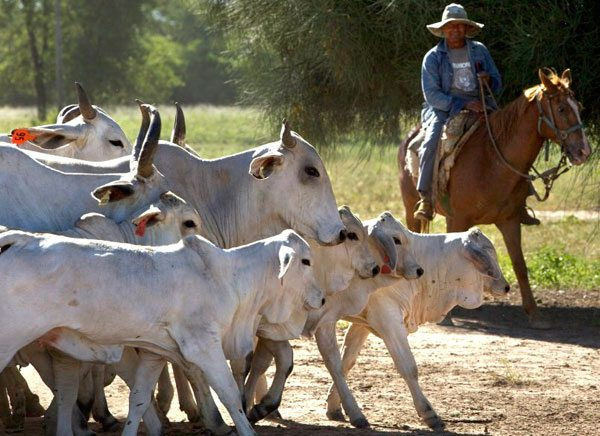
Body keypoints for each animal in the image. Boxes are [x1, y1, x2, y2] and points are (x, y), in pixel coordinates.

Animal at [0, 228, 324, 436]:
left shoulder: (155, 353)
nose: (322, 299)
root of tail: (18, 239)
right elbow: (231, 396)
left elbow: (139, 400)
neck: (229, 278)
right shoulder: (204, 347)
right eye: (306, 261)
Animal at [324, 227, 510, 430]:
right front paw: (429, 413)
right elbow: (408, 367)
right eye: (489, 252)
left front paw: (334, 407)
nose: (507, 286)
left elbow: (346, 362)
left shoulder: (361, 323)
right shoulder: (388, 319)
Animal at [398, 68, 592, 328]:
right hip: (411, 207)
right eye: (561, 109)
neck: (491, 161)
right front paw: (447, 316)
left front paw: (535, 314)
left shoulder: (510, 221)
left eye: (578, 107)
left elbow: (520, 265)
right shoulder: (457, 219)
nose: (583, 151)